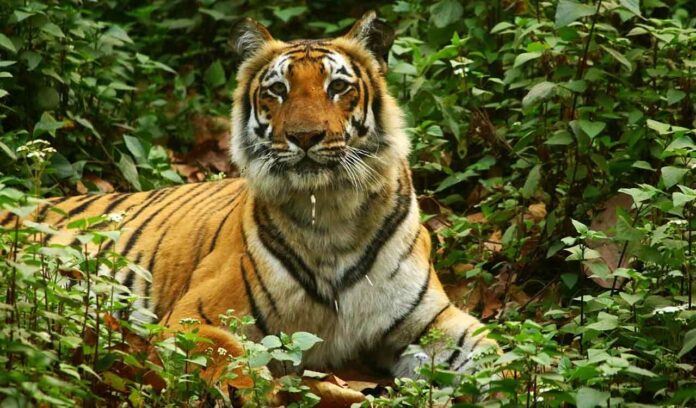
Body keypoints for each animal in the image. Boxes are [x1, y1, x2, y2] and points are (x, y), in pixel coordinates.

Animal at [1, 11, 497, 381]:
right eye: (277, 90)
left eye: (338, 87)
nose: (305, 136)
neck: (330, 212)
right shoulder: (196, 317)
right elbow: (232, 358)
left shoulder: (430, 321)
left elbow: (497, 351)